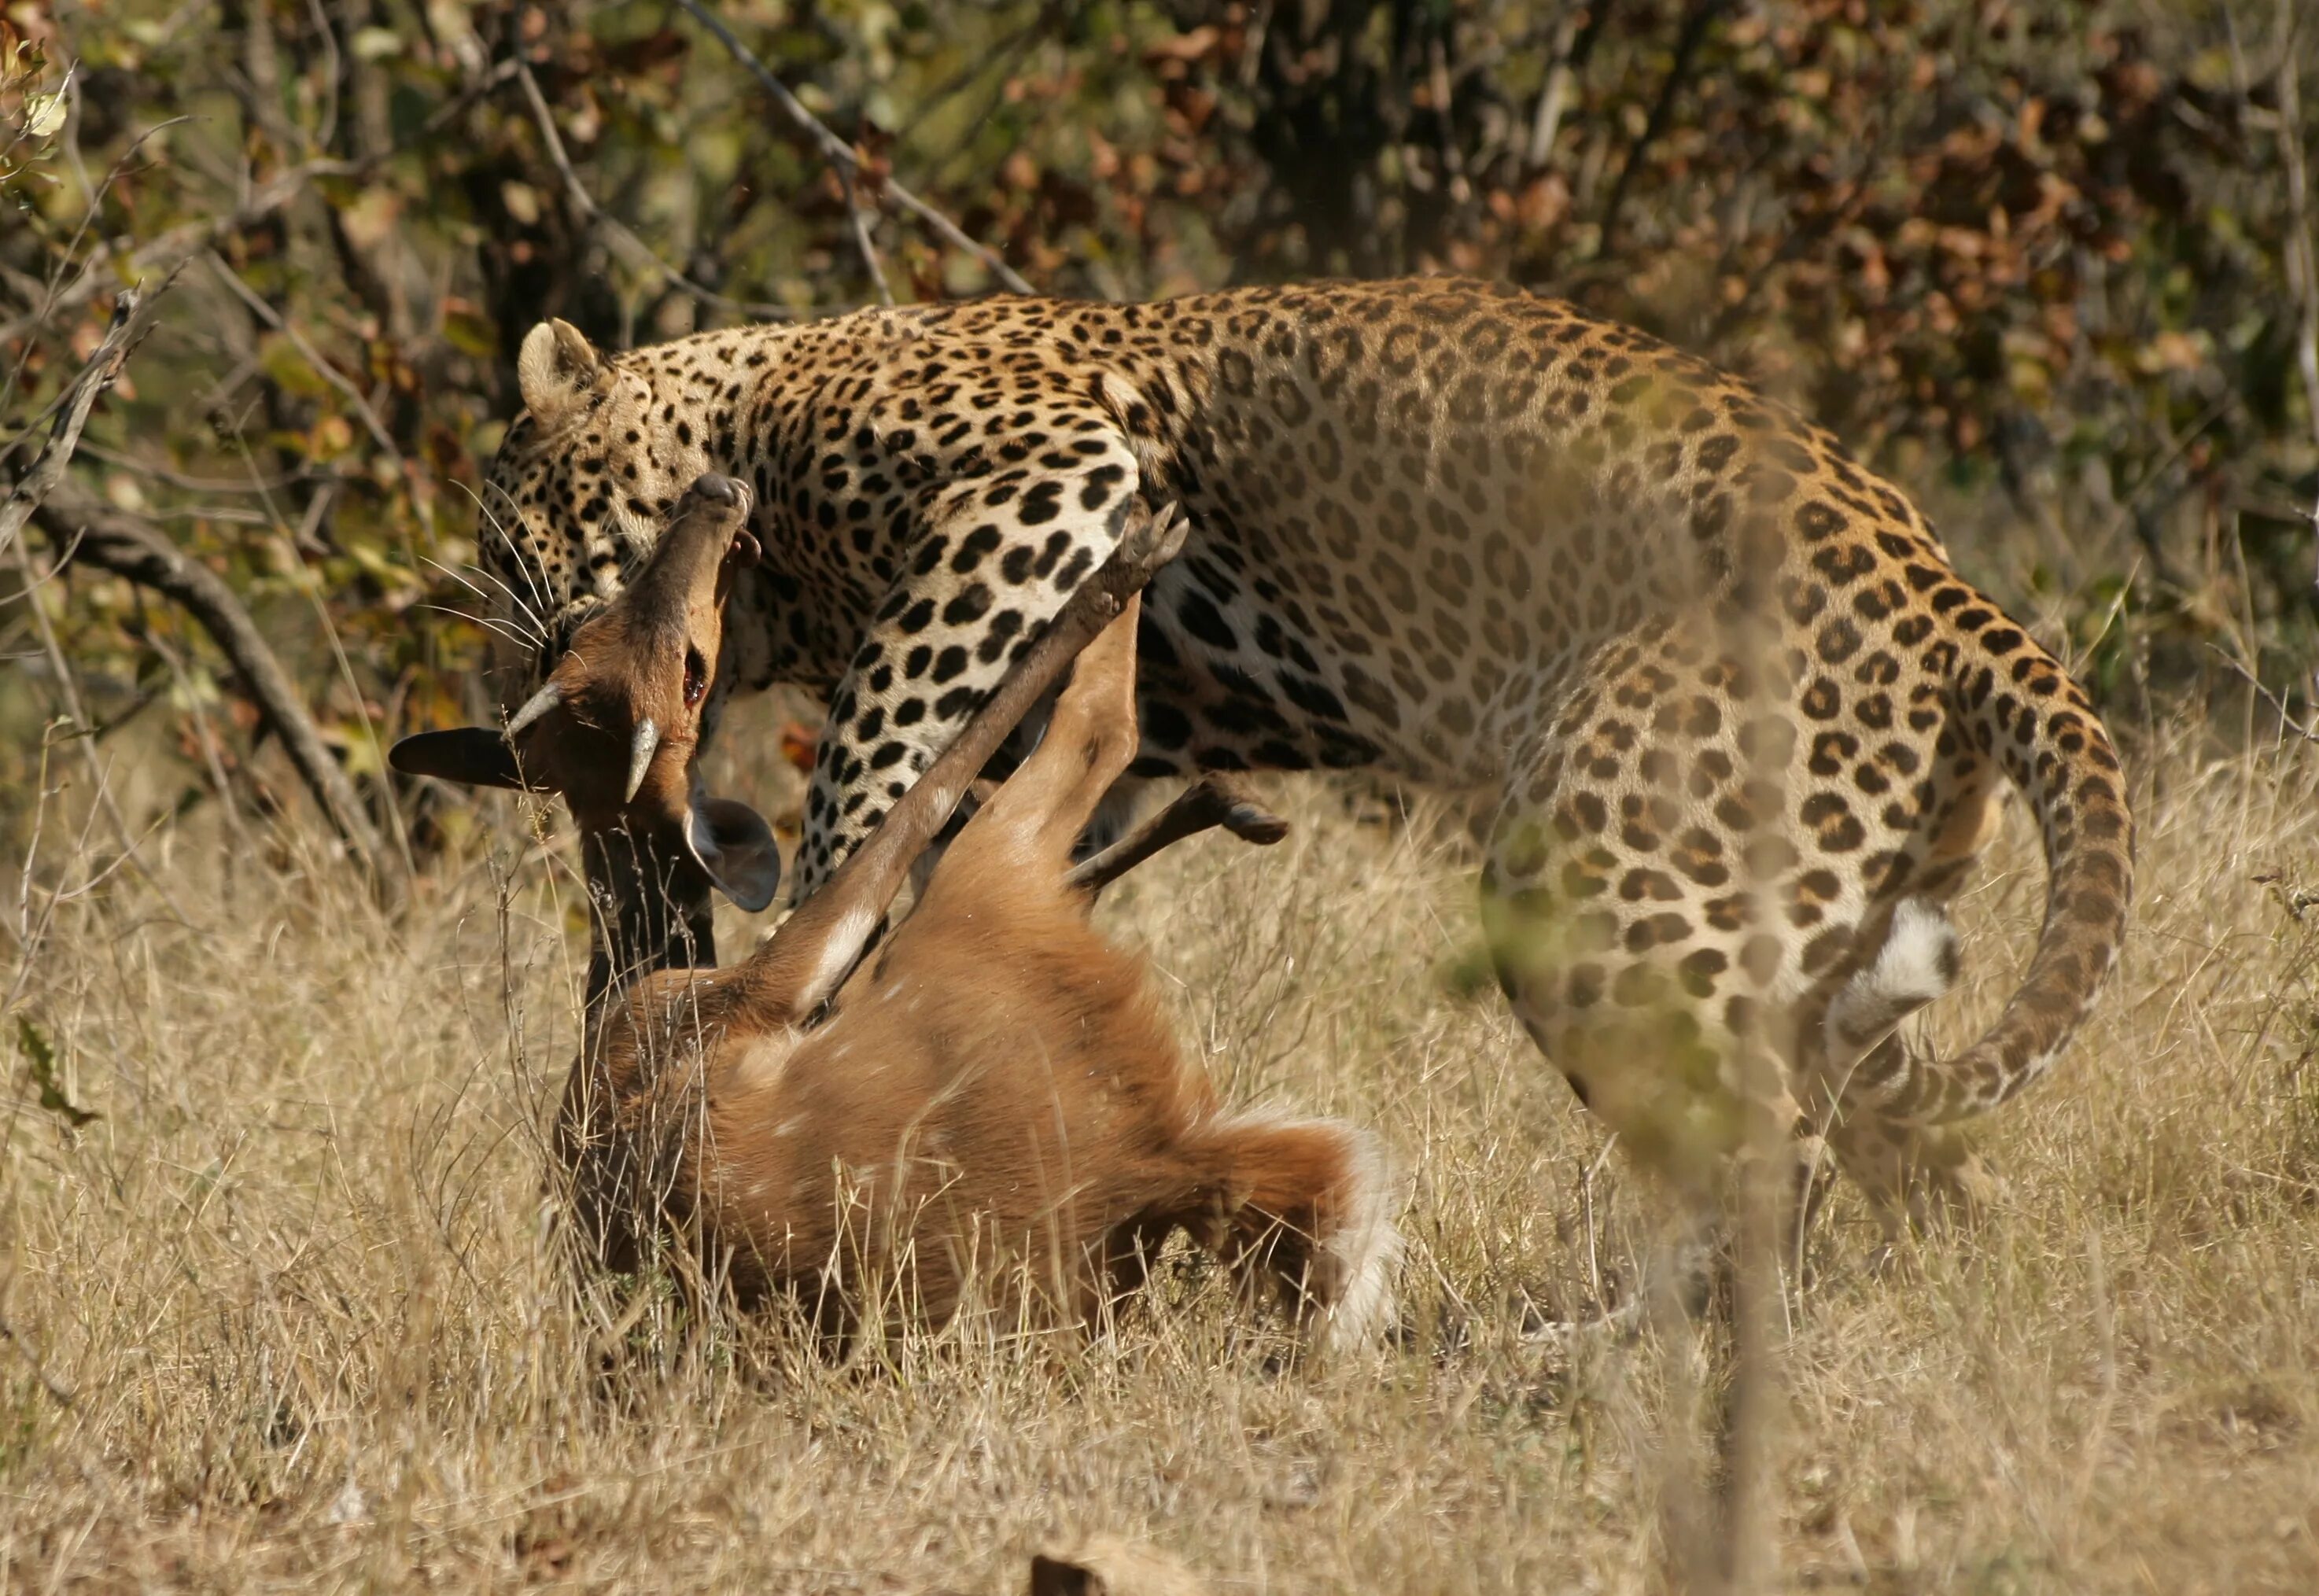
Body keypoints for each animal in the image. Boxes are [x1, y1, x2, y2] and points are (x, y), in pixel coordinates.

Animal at [466, 277, 2133, 1233]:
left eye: (507, 532)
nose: (516, 683)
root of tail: (1951, 595)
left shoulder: (1037, 477)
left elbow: (886, 737)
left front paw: (819, 917)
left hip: (1601, 877)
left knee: (1766, 1148)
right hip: (1818, 915)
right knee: (1899, 1143)